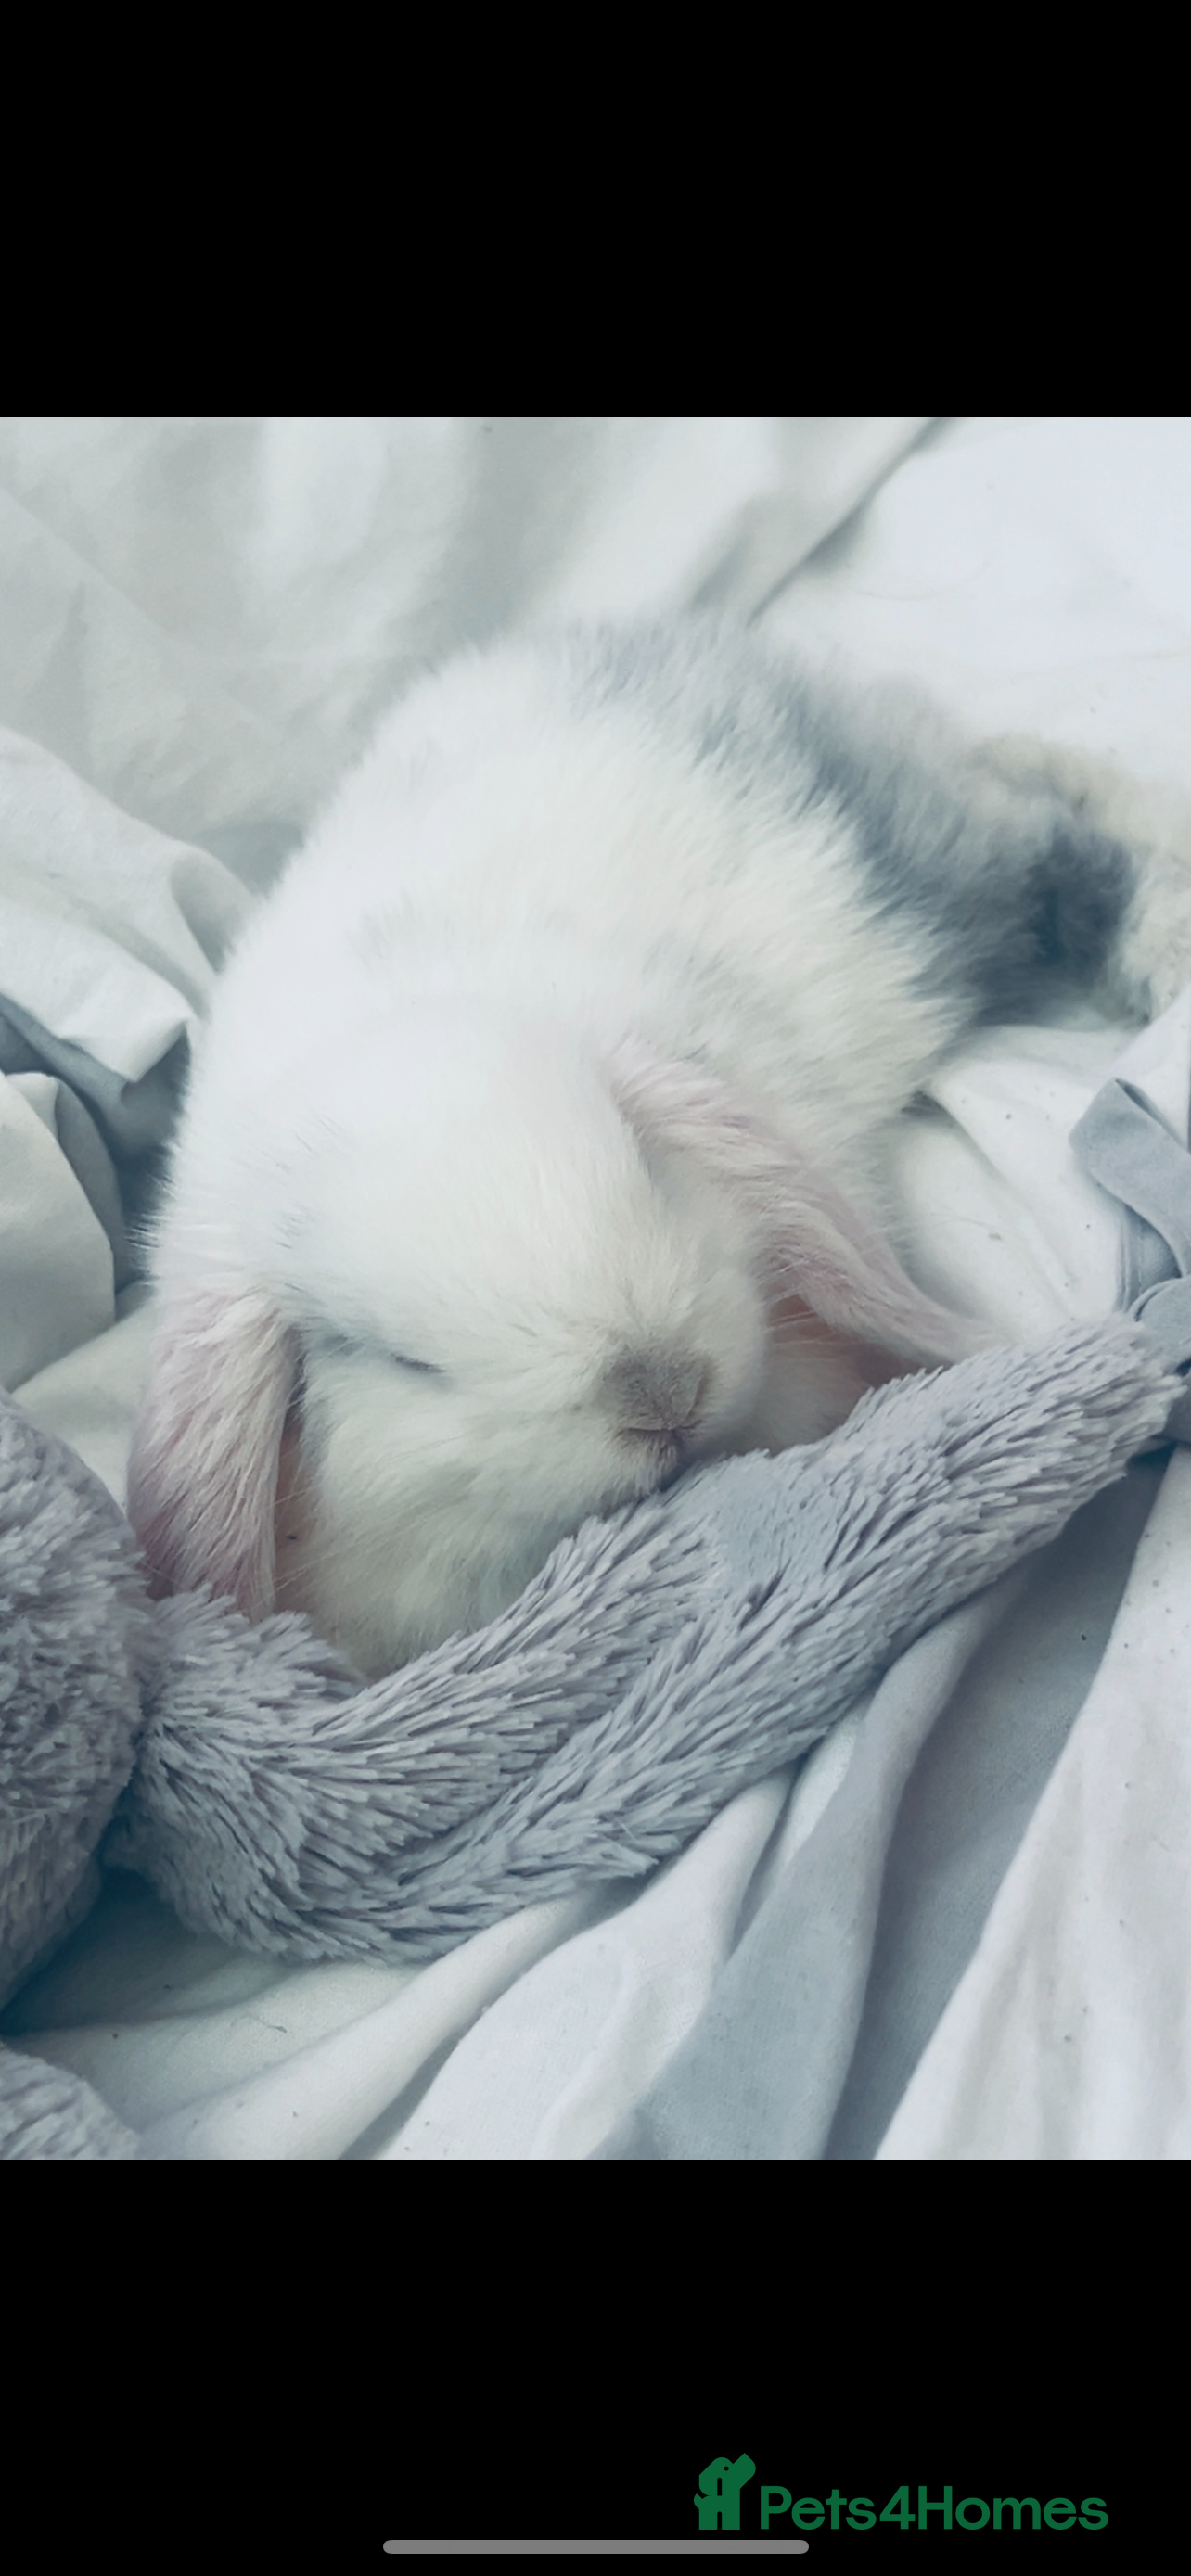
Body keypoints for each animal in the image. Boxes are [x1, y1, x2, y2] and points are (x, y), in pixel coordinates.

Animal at [126, 616, 1186, 1679]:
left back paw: (1164, 951)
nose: (660, 1389)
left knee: (1067, 845)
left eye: (643, 1165)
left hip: (931, 870)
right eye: (395, 1361)